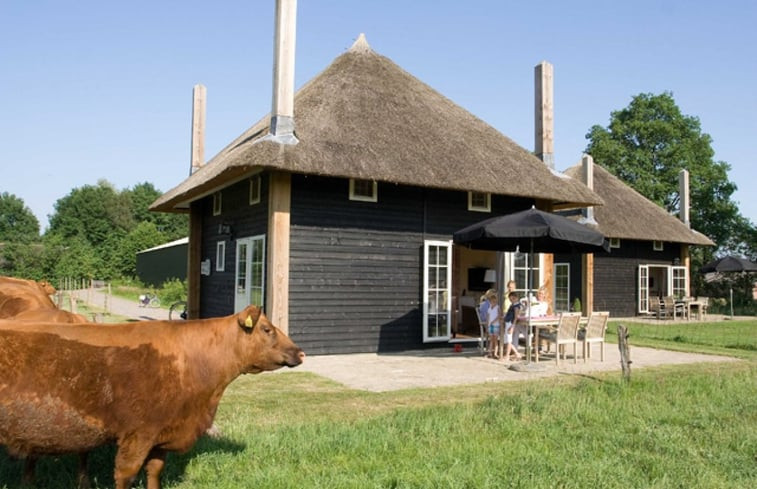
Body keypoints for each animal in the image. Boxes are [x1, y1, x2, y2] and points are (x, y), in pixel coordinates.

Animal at [0, 304, 302, 488]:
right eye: (267, 329)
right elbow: (126, 475)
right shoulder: (138, 434)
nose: (299, 352)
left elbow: (154, 471)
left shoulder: (161, 434)